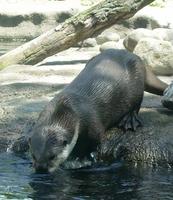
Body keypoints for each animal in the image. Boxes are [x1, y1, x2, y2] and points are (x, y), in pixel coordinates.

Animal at [29, 49, 171, 173]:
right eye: (33, 155)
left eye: (52, 156)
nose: (41, 168)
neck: (67, 107)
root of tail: (135, 56)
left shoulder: (94, 126)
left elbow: (93, 143)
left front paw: (80, 160)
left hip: (137, 80)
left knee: (137, 102)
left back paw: (129, 119)